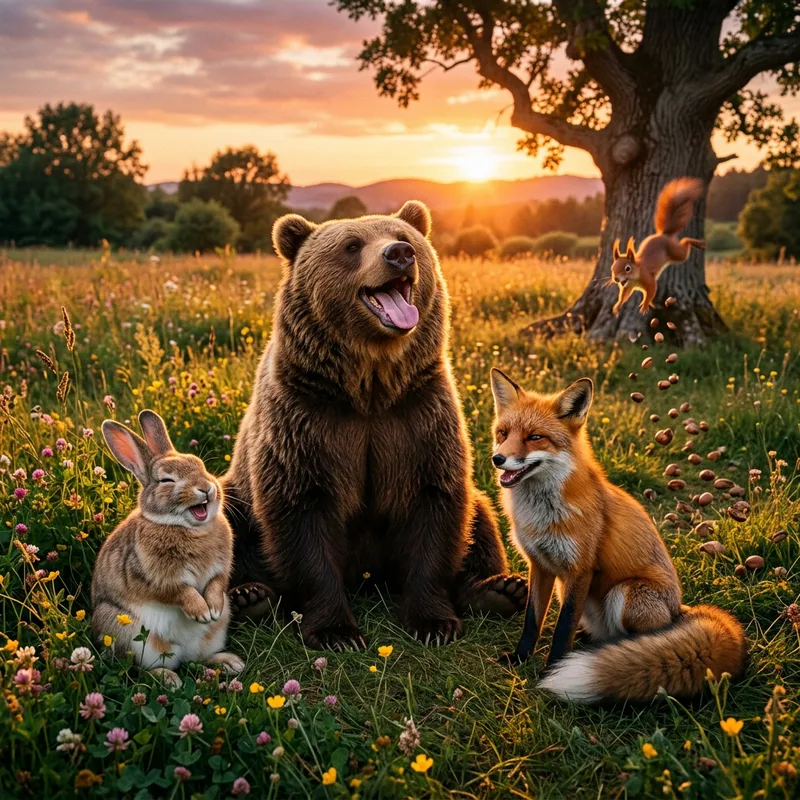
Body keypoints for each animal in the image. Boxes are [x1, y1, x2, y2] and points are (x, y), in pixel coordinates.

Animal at [91, 409, 243, 688]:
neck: (189, 528)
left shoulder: (221, 570)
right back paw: (169, 679)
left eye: (200, 465)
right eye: (166, 480)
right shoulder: (153, 578)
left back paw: (229, 663)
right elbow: (179, 592)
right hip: (128, 633)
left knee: (199, 659)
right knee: (144, 669)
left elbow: (216, 583)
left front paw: (213, 609)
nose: (206, 489)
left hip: (214, 634)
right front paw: (201, 612)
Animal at [223, 200, 525, 649]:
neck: (369, 386)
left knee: (481, 515)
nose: (399, 253)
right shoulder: (305, 418)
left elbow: (433, 504)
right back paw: (249, 596)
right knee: (225, 519)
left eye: (404, 237)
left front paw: (433, 622)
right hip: (235, 495)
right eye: (351, 245)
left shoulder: (416, 416)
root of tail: (368, 579)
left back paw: (501, 589)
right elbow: (301, 512)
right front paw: (337, 631)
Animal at [489, 368, 747, 703]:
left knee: (642, 637)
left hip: (625, 593)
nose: (498, 459)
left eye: (535, 437)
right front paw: (520, 658)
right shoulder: (541, 566)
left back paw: (626, 655)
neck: (543, 514)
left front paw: (552, 668)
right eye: (503, 433)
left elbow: (562, 628)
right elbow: (532, 621)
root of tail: (680, 610)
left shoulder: (580, 570)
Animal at [610, 178, 706, 316]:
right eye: (612, 268)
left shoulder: (649, 279)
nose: (616, 279)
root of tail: (663, 235)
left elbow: (651, 292)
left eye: (627, 268)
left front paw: (645, 305)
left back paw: (698, 243)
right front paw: (617, 306)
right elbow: (624, 296)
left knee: (684, 242)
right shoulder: (628, 286)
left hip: (676, 253)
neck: (634, 276)